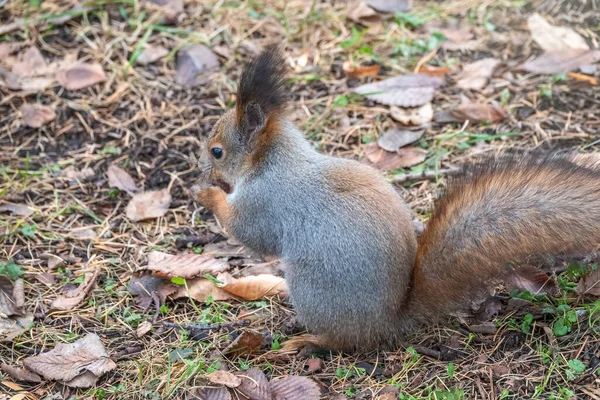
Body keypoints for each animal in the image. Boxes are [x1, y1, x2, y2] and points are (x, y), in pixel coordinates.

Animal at [192, 46, 600, 350]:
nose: (200, 167)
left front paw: (208, 195)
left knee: (342, 341)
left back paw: (308, 340)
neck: (274, 160)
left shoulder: (267, 200)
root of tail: (388, 322)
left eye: (217, 152)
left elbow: (249, 233)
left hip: (312, 289)